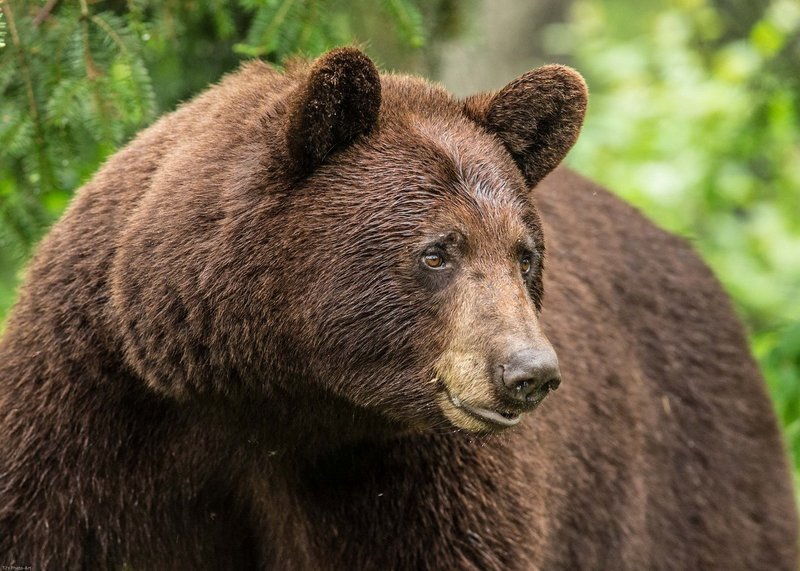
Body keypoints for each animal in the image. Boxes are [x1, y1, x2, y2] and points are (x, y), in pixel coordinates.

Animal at [0, 47, 797, 569]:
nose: (529, 373)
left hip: (692, 480)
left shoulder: (411, 479)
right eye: (437, 251)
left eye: (525, 256)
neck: (269, 395)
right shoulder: (95, 417)